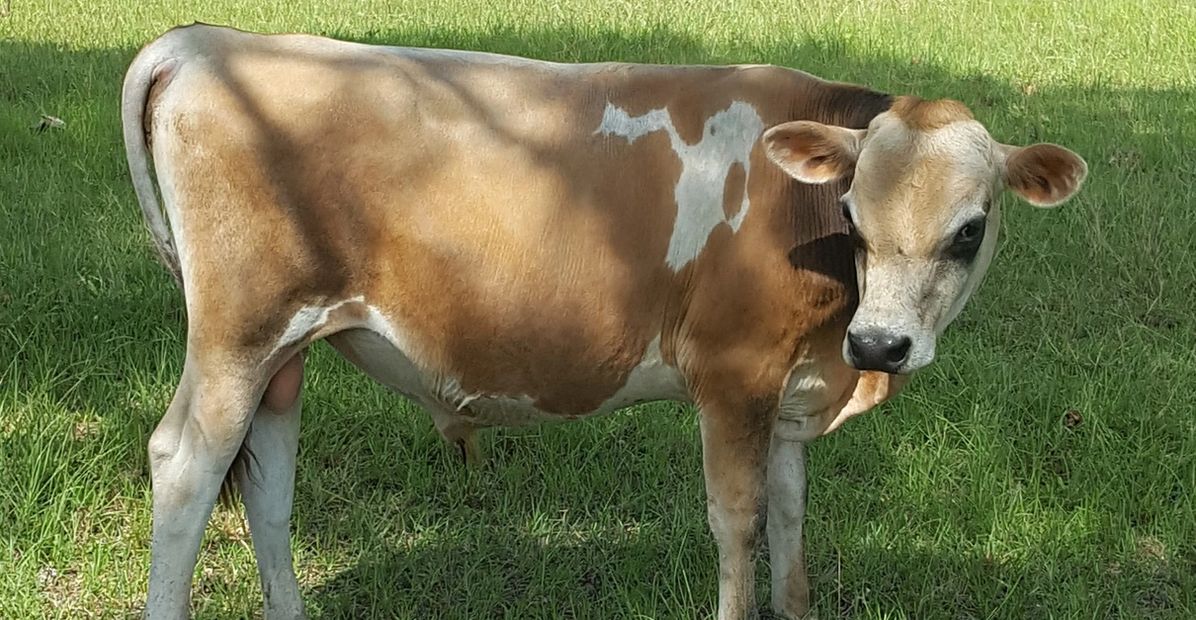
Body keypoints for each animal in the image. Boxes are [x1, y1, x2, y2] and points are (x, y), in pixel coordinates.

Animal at [121, 23, 1087, 620]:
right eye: (852, 213)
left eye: (970, 229)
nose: (881, 342)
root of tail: (208, 40)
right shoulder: (733, 373)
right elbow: (737, 519)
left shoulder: (791, 385)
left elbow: (791, 517)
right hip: (238, 333)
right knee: (186, 466)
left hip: (284, 348)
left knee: (266, 479)